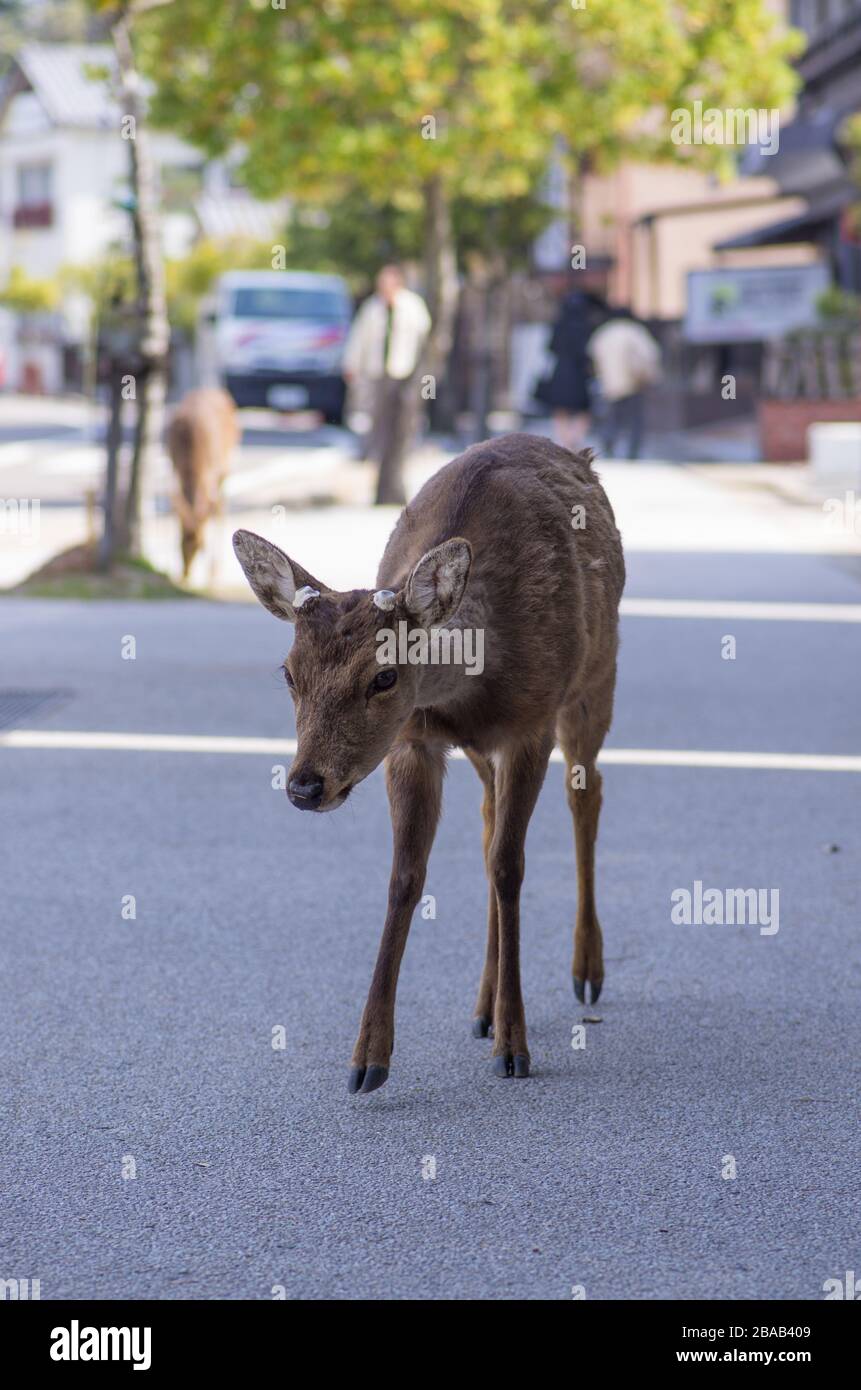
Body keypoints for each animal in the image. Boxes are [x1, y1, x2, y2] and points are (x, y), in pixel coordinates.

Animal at [167, 386, 239, 575]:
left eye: (201, 547)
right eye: (179, 544)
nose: (185, 573)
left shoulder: (212, 471)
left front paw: (211, 571)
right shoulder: (174, 463)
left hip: (227, 463)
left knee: (221, 506)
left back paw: (216, 568)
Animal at [233, 433, 625, 1095]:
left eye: (385, 676)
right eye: (288, 673)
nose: (306, 785)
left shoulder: (531, 726)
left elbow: (510, 869)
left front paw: (516, 1047)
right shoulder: (414, 741)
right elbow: (406, 878)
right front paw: (368, 1058)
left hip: (597, 676)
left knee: (587, 793)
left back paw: (586, 972)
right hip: (482, 748)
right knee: (490, 820)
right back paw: (482, 1008)